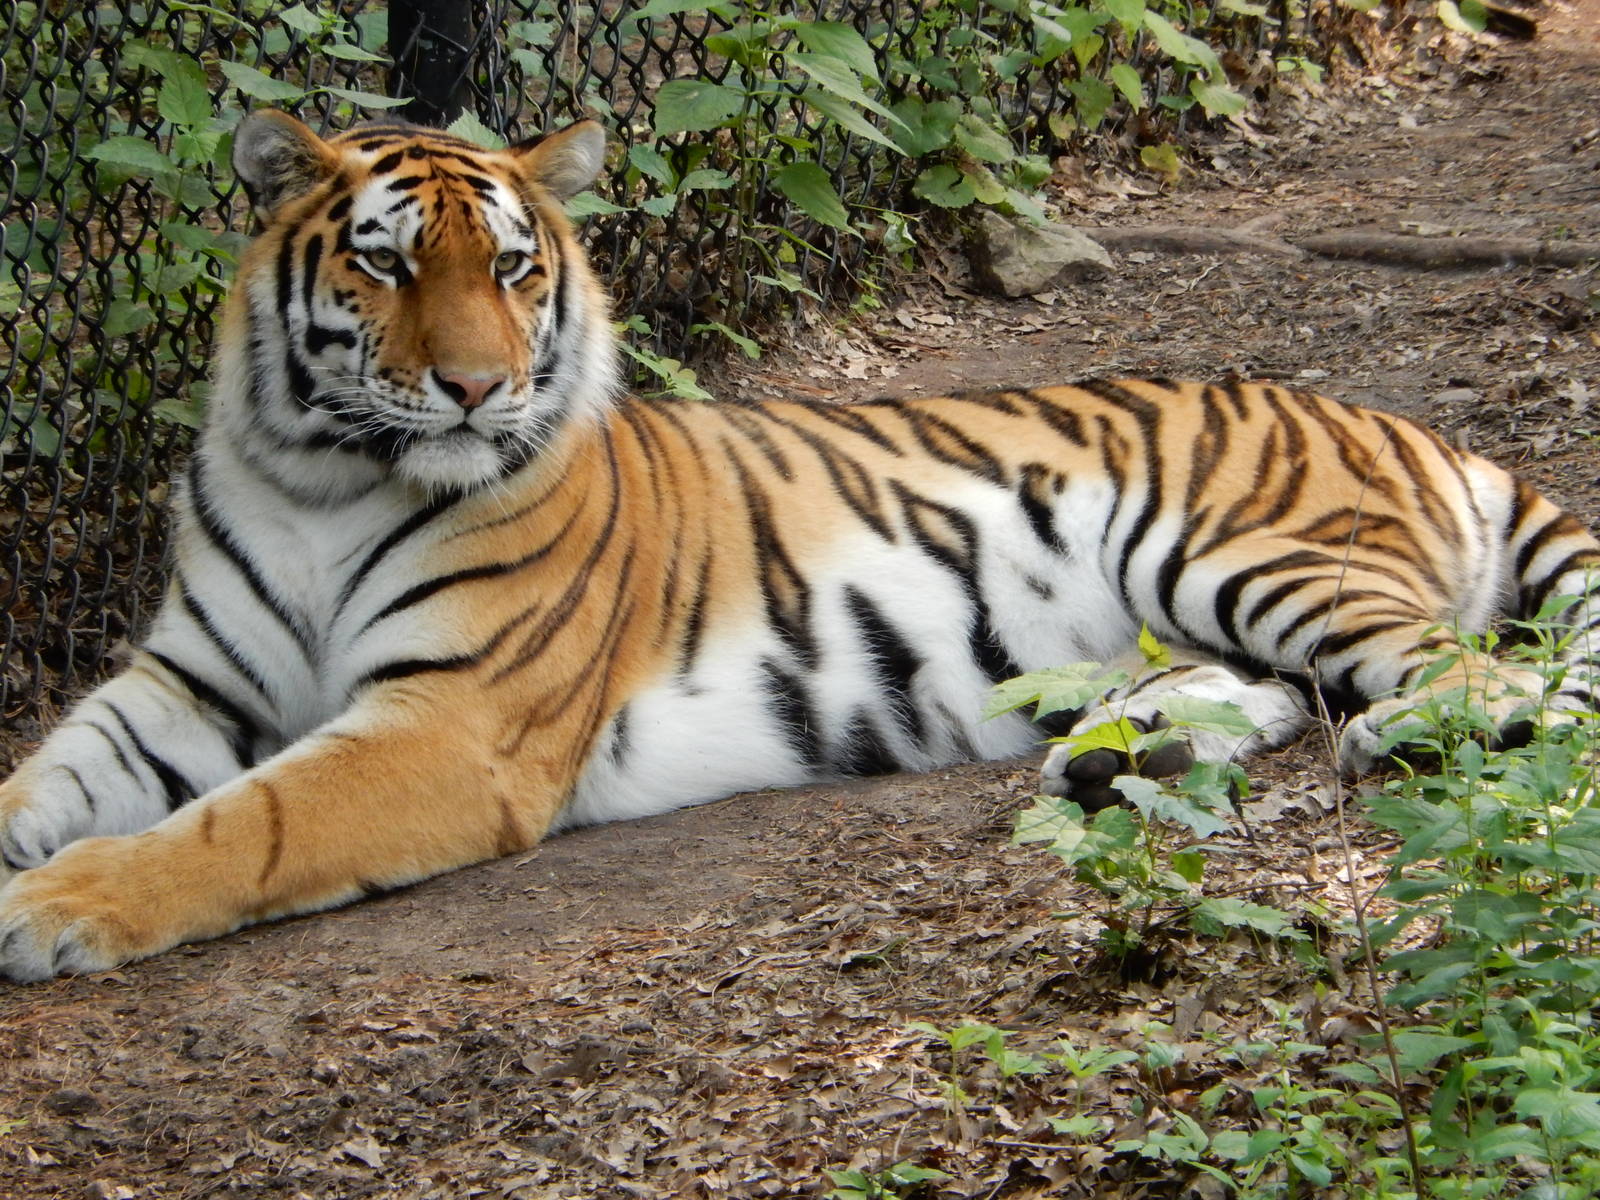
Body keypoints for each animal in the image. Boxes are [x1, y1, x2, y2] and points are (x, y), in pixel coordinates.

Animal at [0, 110, 1595, 983]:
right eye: (385, 264)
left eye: (512, 268)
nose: (474, 388)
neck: (322, 478)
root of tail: (1396, 419)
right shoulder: (183, 687)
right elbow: (52, 778)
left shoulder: (452, 724)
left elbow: (245, 824)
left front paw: (58, 907)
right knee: (1260, 690)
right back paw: (1117, 760)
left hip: (1237, 549)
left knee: (1478, 679)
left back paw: (1393, 738)